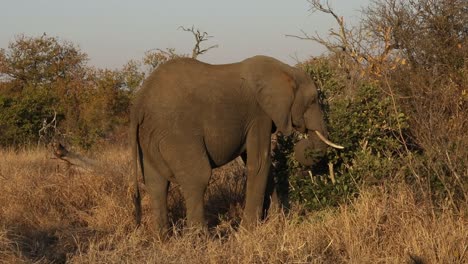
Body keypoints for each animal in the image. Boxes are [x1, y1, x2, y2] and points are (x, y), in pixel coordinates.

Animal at [130, 55, 342, 235]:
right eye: (313, 100)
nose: (304, 140)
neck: (286, 70)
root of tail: (139, 103)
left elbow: (264, 165)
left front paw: (275, 222)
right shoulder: (259, 115)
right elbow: (259, 162)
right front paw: (248, 231)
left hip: (150, 137)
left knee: (156, 183)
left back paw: (162, 239)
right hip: (177, 133)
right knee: (197, 177)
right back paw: (200, 240)